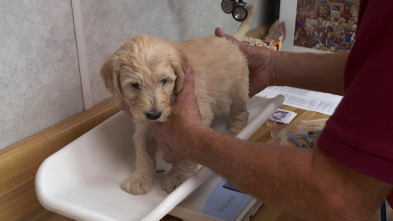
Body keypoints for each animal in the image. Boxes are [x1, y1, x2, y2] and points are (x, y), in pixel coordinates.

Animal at [100, 5, 254, 195]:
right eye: (135, 85)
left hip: (239, 88)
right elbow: (144, 155)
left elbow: (186, 151)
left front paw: (177, 177)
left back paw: (237, 128)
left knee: (241, 110)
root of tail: (229, 40)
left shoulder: (197, 116)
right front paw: (139, 179)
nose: (154, 114)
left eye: (164, 81)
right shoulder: (143, 127)